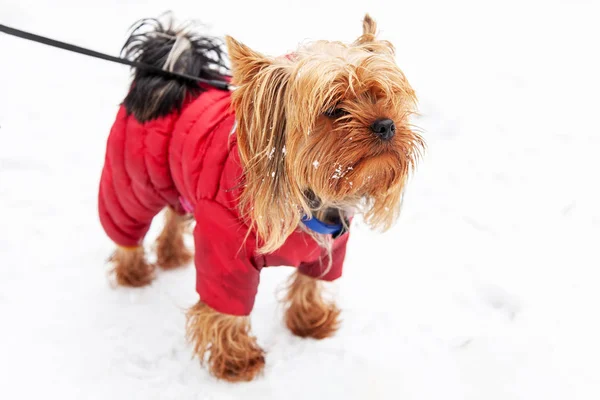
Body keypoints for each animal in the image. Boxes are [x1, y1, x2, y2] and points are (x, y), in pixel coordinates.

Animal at [98, 13, 424, 382]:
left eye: (381, 94)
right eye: (333, 109)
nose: (386, 125)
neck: (307, 195)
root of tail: (163, 72)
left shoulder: (331, 246)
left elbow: (311, 281)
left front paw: (309, 321)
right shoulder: (225, 248)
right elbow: (228, 306)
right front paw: (237, 360)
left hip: (174, 177)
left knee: (174, 212)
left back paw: (171, 254)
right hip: (132, 182)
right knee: (126, 229)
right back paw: (134, 273)